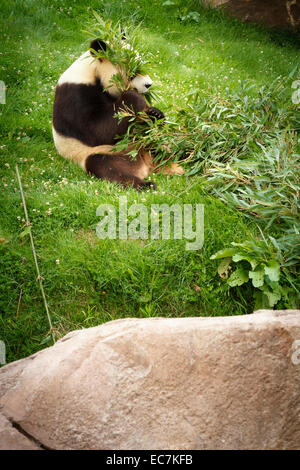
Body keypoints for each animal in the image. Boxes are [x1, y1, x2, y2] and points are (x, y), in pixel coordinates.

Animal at [52, 38, 183, 189]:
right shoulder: (75, 95)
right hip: (102, 153)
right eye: (133, 72)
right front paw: (133, 97)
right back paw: (146, 184)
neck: (92, 72)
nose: (149, 85)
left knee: (175, 145)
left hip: (154, 142)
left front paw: (155, 113)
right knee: (107, 166)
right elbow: (96, 131)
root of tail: (147, 163)